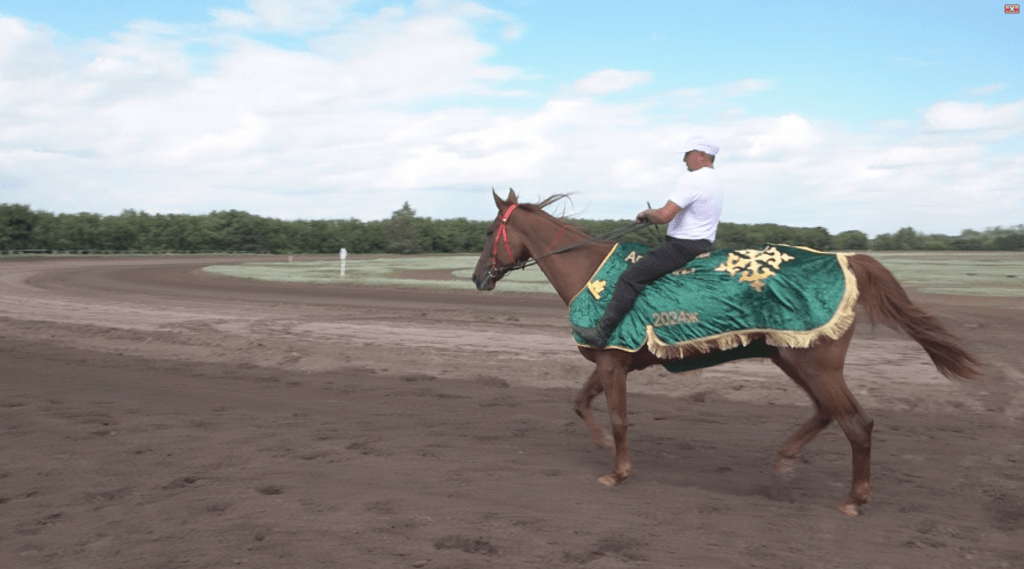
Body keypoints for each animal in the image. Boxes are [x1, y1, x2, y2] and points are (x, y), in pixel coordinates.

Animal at [471, 190, 983, 515]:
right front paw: (600, 447)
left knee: (857, 424)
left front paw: (618, 472)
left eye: (490, 232)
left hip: (815, 364)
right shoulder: (611, 360)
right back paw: (783, 464)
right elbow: (580, 402)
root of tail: (846, 259)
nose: (478, 278)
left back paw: (854, 499)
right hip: (792, 359)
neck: (591, 273)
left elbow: (617, 419)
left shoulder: (614, 360)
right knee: (827, 413)